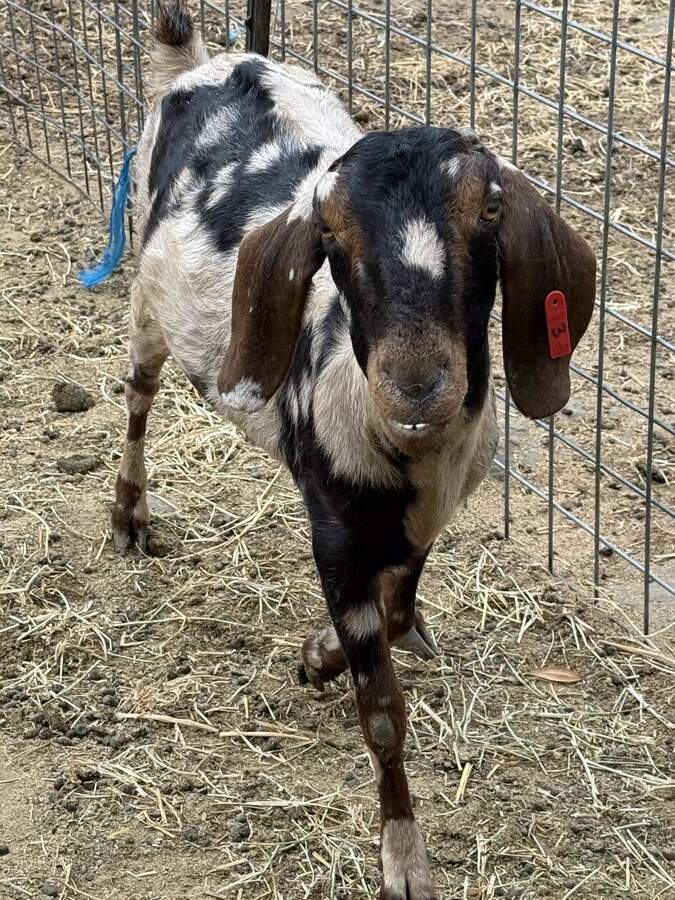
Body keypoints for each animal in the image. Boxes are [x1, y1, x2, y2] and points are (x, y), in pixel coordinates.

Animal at [111, 3, 596, 896]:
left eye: (488, 212)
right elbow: (381, 713)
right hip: (145, 304)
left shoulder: (421, 524)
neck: (417, 456)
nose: (416, 385)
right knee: (136, 398)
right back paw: (129, 515)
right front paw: (402, 858)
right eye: (329, 233)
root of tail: (202, 64)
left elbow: (398, 612)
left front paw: (315, 655)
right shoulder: (335, 535)